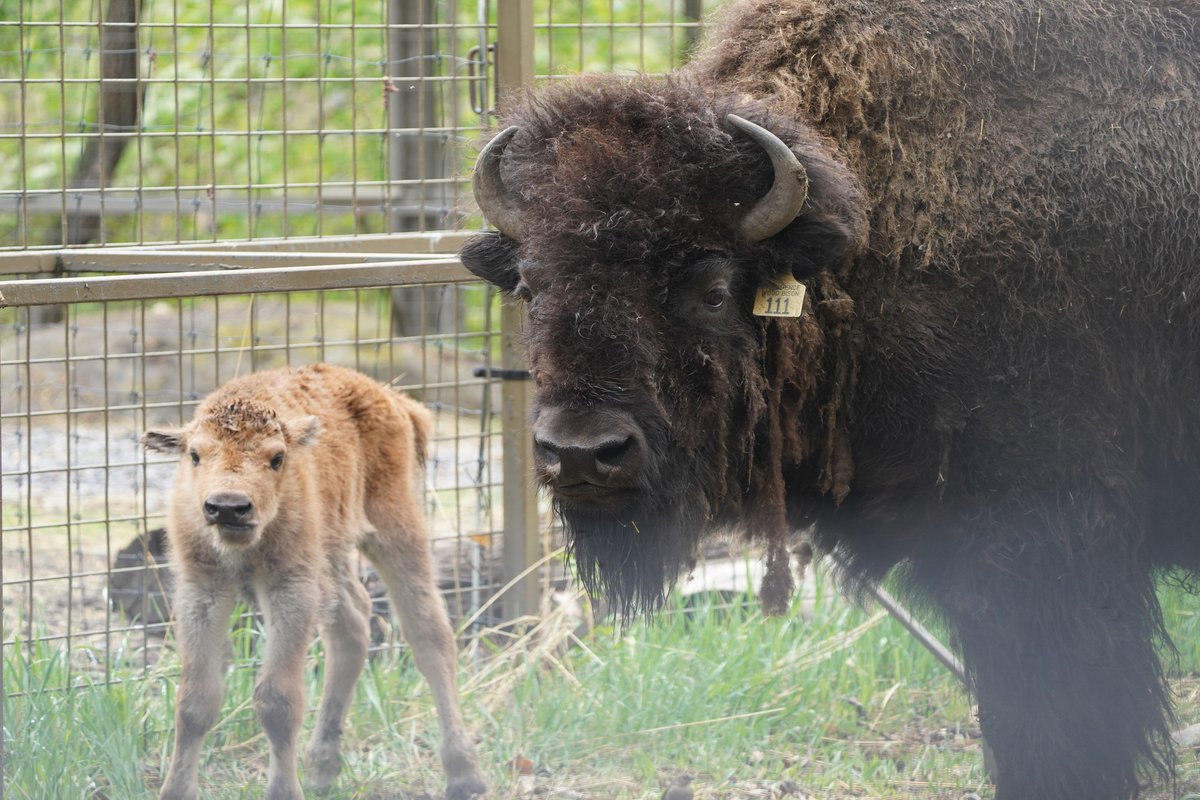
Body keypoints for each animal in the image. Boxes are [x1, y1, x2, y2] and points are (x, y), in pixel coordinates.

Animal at [142, 363, 487, 800]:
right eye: (195, 455)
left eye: (277, 457)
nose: (229, 507)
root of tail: (393, 398)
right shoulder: (201, 587)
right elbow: (194, 701)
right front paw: (175, 790)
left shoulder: (292, 587)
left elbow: (277, 701)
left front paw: (283, 792)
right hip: (333, 555)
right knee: (352, 627)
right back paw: (322, 768)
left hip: (397, 530)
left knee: (430, 636)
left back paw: (464, 773)